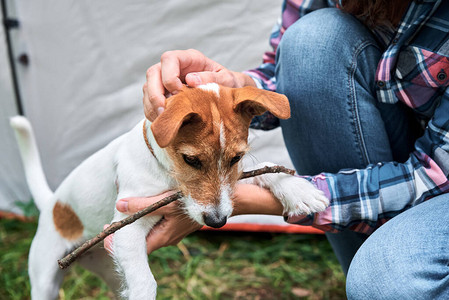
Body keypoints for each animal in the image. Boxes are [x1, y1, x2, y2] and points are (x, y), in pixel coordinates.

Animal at [10, 83, 326, 298]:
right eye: (191, 160)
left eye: (236, 158)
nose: (217, 222)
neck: (166, 174)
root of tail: (52, 204)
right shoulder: (126, 226)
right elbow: (145, 283)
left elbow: (265, 168)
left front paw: (299, 190)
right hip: (45, 279)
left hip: (111, 271)